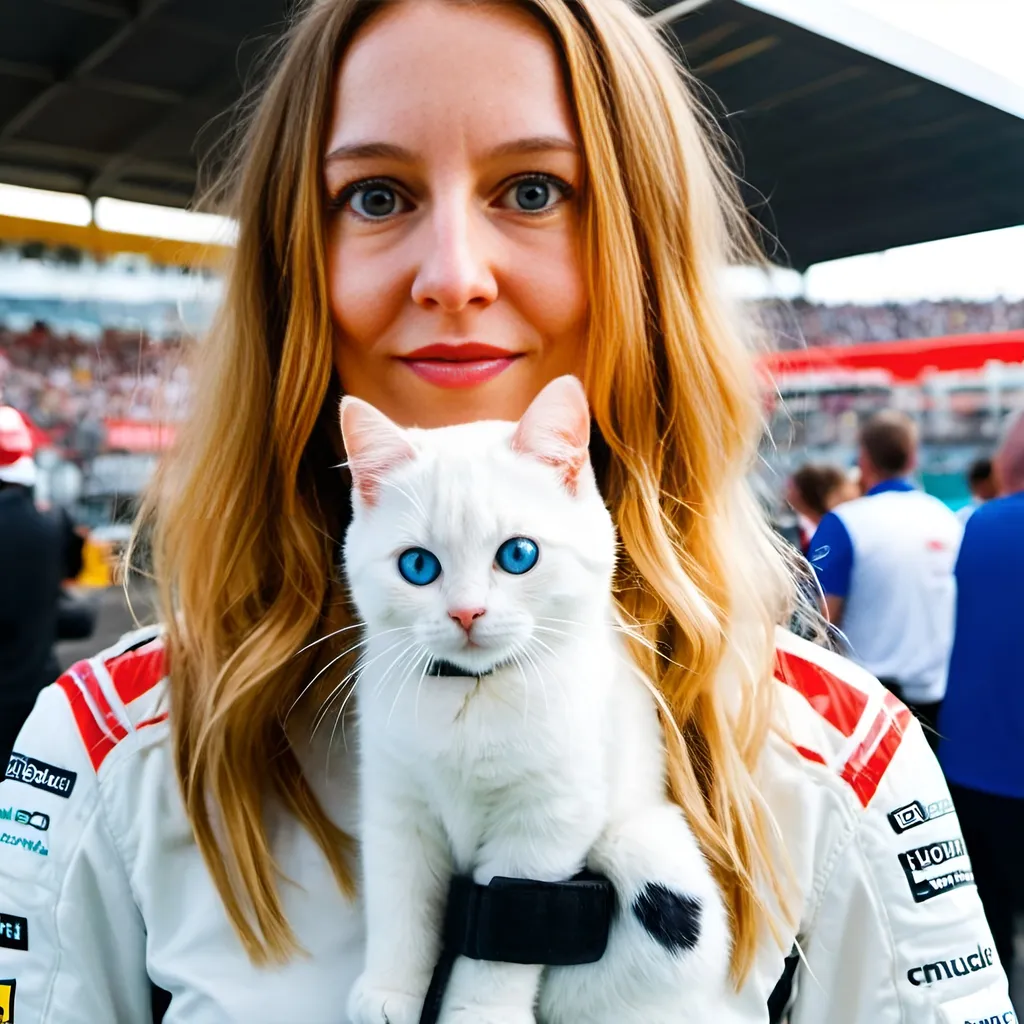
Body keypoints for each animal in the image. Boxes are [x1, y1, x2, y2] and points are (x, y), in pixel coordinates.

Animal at [342, 378, 729, 1024]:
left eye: (518, 555)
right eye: (418, 565)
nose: (466, 613)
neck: (474, 691)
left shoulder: (547, 820)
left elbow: (502, 938)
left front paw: (479, 1013)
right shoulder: (397, 804)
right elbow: (401, 901)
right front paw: (392, 991)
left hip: (650, 855)